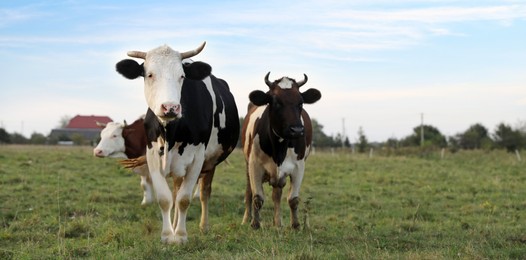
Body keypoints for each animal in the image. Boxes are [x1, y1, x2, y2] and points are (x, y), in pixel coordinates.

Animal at [116, 42, 240, 244]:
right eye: (149, 74)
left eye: (181, 76)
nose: (170, 107)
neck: (170, 133)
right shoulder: (152, 156)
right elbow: (165, 199)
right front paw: (168, 235)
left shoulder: (197, 159)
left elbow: (184, 199)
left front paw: (180, 236)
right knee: (175, 191)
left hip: (210, 162)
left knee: (204, 192)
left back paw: (203, 226)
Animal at [242, 72, 322, 229]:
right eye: (276, 102)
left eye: (301, 103)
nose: (297, 130)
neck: (279, 149)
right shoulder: (254, 165)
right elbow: (257, 197)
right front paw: (255, 224)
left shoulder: (299, 167)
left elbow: (293, 199)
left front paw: (295, 225)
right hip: (247, 165)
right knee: (249, 192)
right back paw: (246, 219)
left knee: (277, 194)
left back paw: (278, 223)